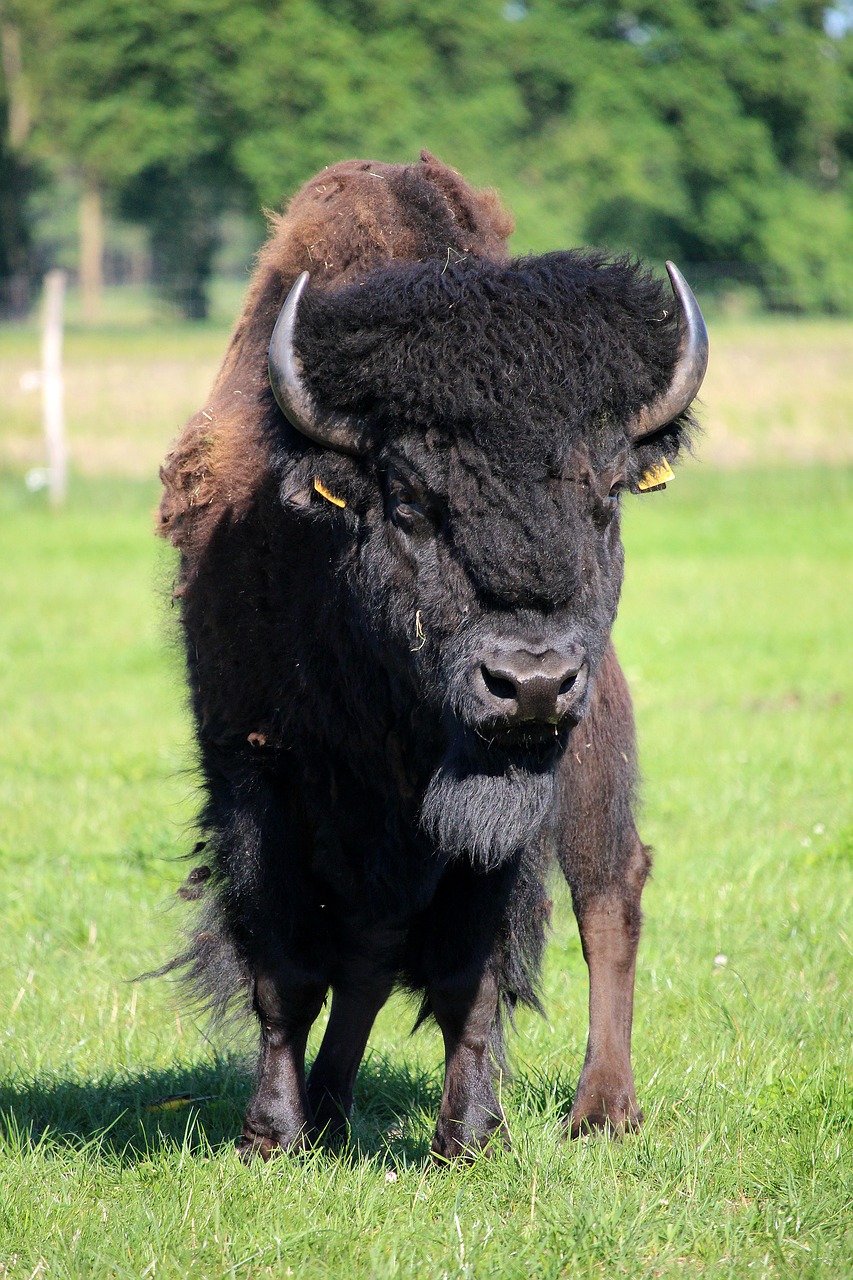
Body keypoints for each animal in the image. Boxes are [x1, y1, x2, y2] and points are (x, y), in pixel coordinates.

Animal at [157, 149, 701, 1162]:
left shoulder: (499, 817)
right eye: (409, 501)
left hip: (594, 754)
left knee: (610, 892)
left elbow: (466, 977)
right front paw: (272, 1134)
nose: (530, 684)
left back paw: (602, 1109)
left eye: (606, 495)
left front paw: (468, 1137)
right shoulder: (257, 775)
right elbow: (290, 970)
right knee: (370, 955)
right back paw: (331, 1105)